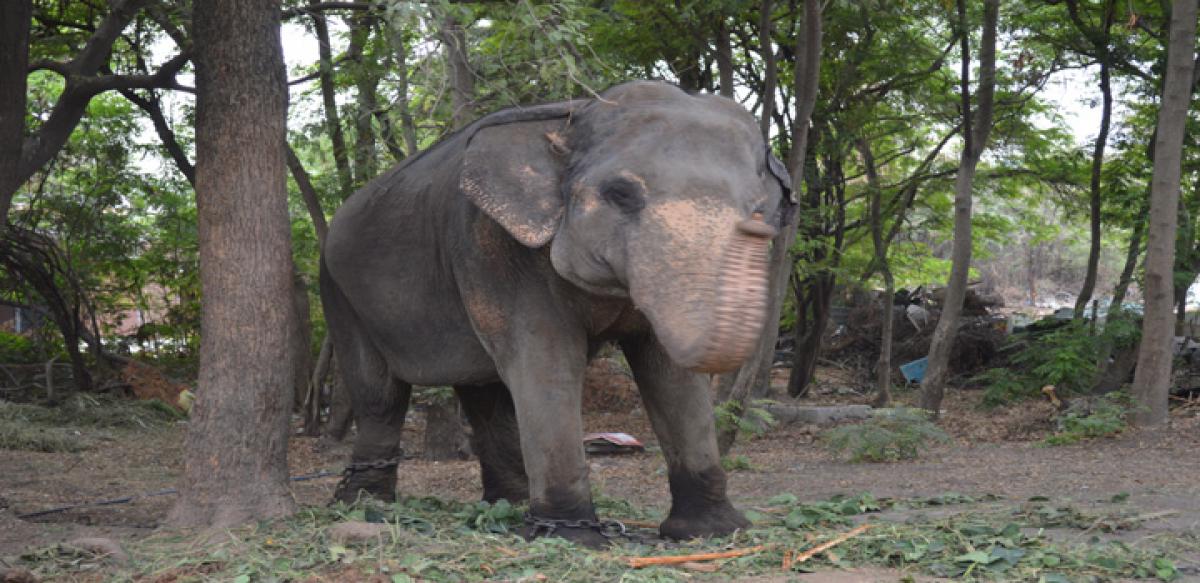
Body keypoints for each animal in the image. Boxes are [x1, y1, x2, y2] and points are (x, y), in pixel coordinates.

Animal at [321, 79, 796, 544]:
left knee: (483, 392)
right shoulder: (494, 245)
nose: (755, 229)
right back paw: (365, 505)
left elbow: (670, 374)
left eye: (759, 205)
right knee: (380, 396)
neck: (577, 112)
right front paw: (571, 537)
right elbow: (547, 361)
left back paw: (507, 507)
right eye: (620, 194)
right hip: (340, 291)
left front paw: (712, 532)